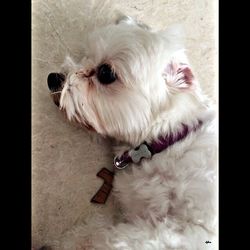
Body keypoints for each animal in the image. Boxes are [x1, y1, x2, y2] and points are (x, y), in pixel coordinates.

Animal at [46, 15, 217, 250]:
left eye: (105, 73)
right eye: (86, 56)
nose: (53, 78)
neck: (165, 142)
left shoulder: (183, 232)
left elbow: (109, 236)